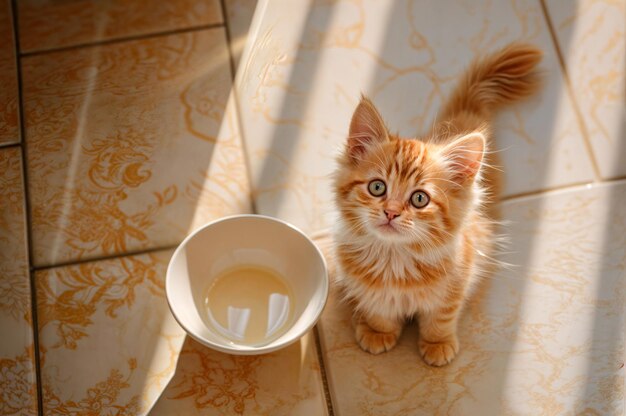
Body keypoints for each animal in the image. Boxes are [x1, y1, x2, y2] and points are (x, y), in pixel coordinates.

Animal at [332, 42, 540, 366]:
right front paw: (378, 331)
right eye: (377, 187)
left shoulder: (457, 281)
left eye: (420, 199)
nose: (391, 212)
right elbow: (378, 309)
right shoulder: (366, 287)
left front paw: (437, 343)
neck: (394, 260)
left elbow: (440, 317)